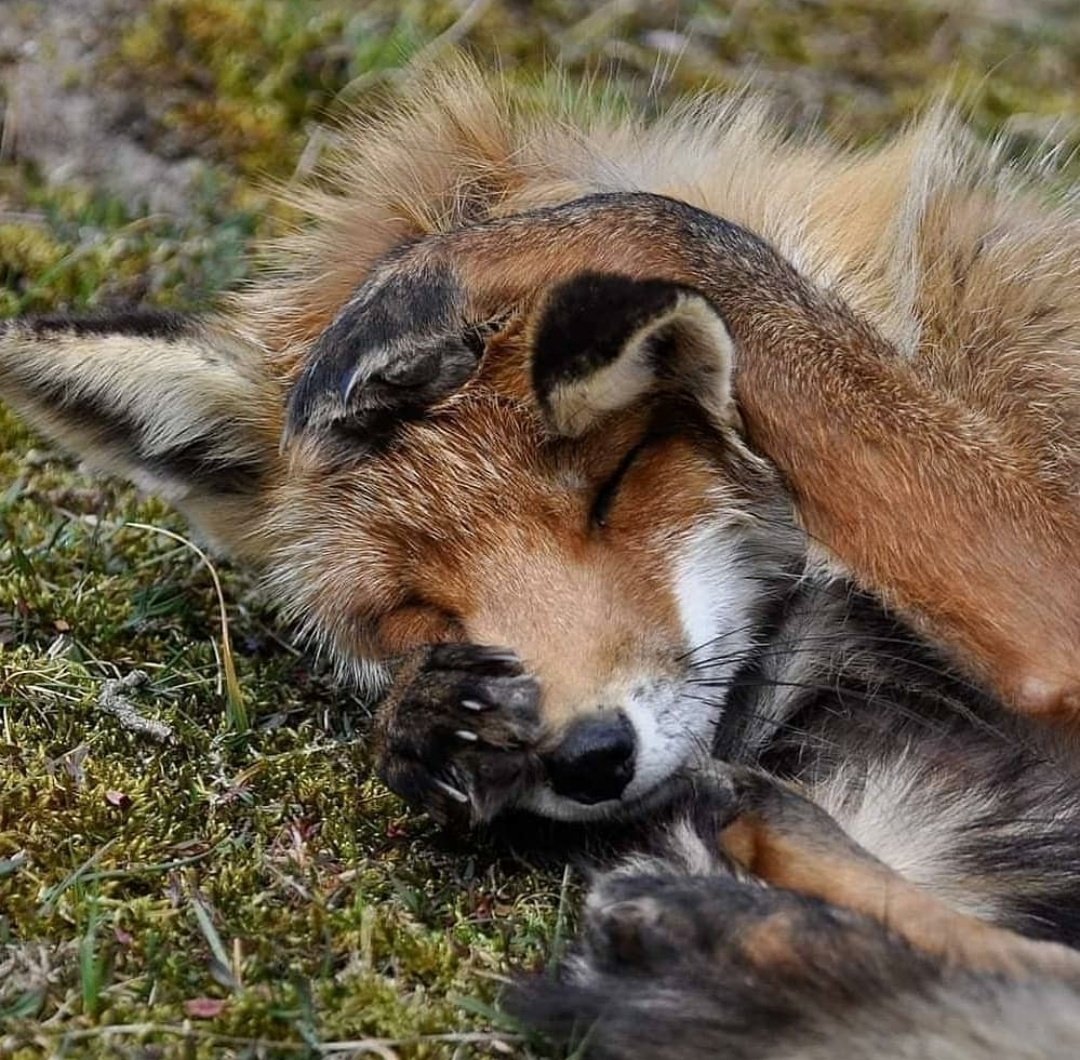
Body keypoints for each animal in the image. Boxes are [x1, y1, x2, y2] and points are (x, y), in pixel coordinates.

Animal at [2, 62, 1080, 1054]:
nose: (590, 757)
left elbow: (664, 217)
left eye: (617, 484)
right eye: (412, 607)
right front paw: (431, 718)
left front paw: (433, 281)